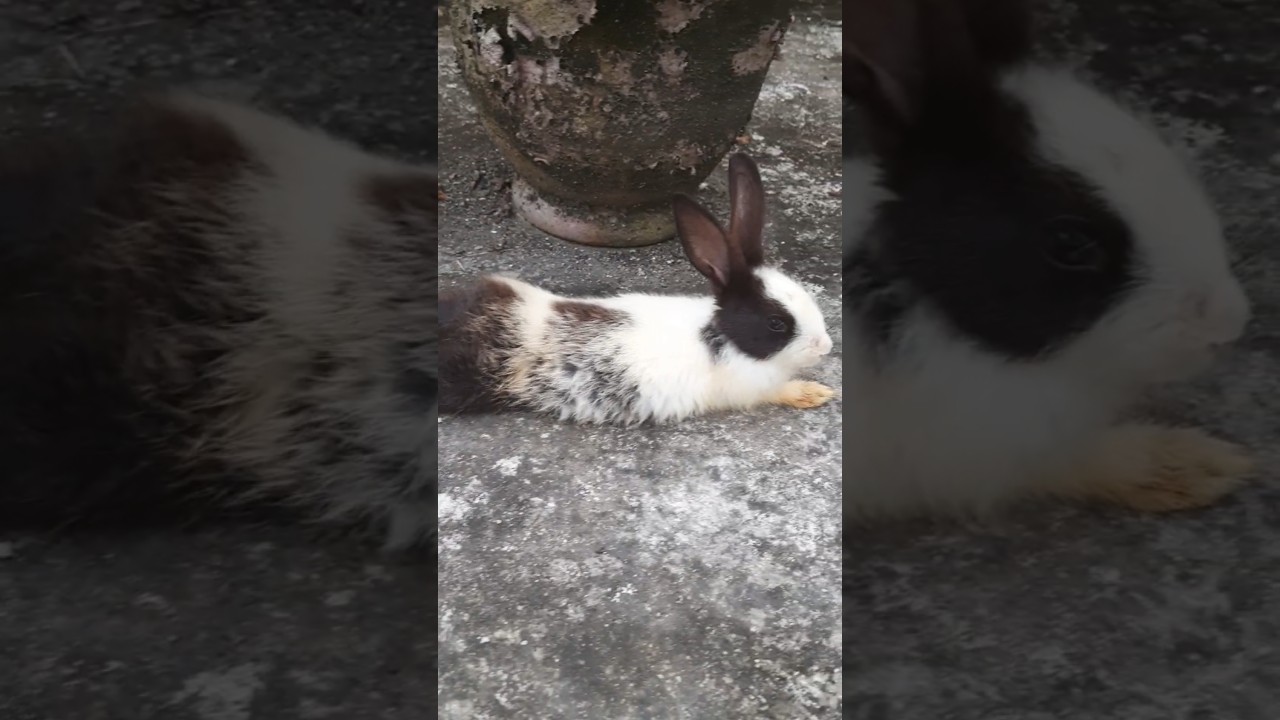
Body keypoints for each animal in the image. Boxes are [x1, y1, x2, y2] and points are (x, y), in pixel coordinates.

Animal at [440, 153, 835, 426]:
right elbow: (780, 391)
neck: (723, 338)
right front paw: (815, 394)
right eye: (776, 323)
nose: (826, 347)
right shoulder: (750, 389)